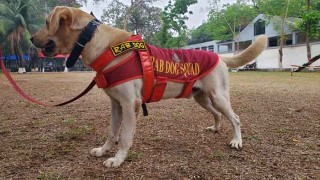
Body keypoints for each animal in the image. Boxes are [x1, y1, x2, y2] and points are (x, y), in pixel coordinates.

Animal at [31, 6, 268, 167]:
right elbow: (112, 132)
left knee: (235, 118)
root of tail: (219, 57)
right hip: (202, 98)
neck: (99, 43)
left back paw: (236, 141)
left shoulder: (130, 104)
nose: (31, 38)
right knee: (218, 115)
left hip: (218, 97)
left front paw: (117, 159)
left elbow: (124, 136)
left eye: (46, 22)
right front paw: (104, 150)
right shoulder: (116, 105)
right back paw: (216, 128)